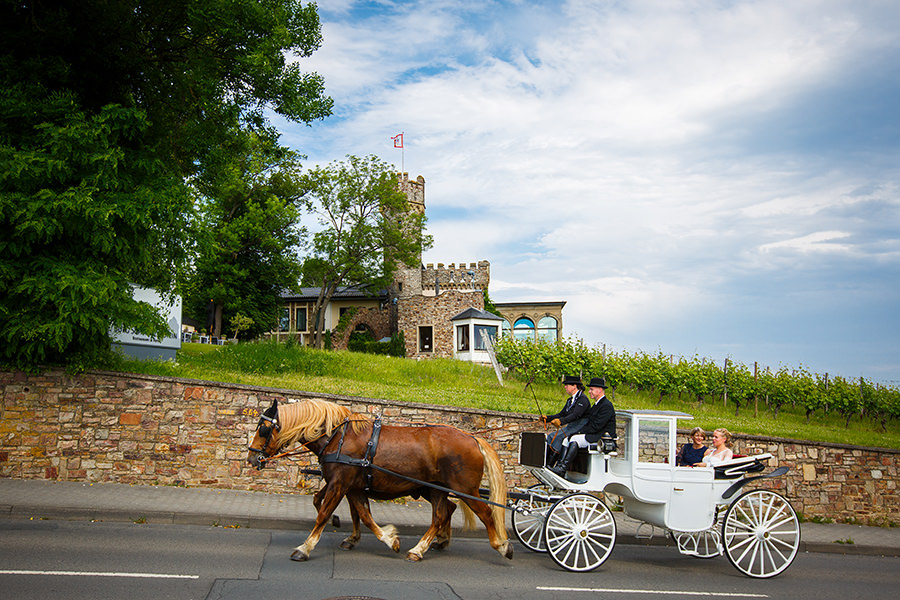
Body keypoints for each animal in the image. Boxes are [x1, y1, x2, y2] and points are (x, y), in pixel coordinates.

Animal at [246, 398, 512, 564]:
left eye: (263, 429)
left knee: (485, 514)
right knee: (442, 513)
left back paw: (501, 545)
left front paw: (305, 548)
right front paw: (384, 538)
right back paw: (424, 547)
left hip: (466, 489)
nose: (251, 457)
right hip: (436, 489)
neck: (337, 437)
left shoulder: (339, 484)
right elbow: (360, 514)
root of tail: (471, 437)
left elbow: (323, 513)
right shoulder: (352, 487)